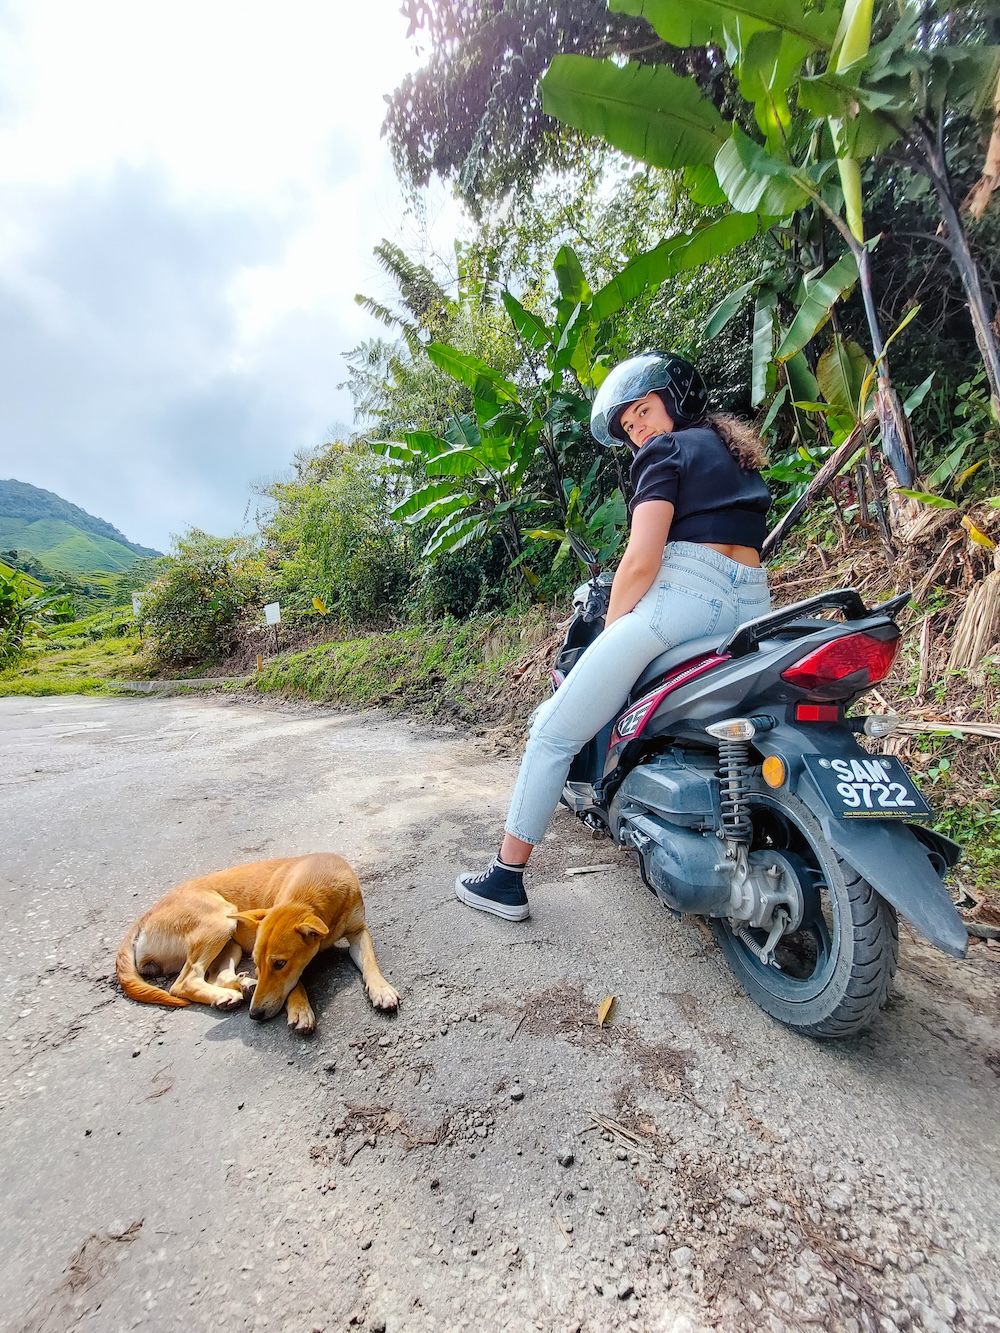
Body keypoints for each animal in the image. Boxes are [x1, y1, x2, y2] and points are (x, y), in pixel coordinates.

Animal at [115, 853, 397, 1029]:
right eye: (258, 964)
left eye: (279, 964)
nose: (254, 1015)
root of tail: (144, 917)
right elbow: (294, 983)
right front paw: (299, 1008)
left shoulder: (359, 932)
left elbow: (370, 962)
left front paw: (381, 989)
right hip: (221, 922)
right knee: (183, 982)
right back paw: (230, 993)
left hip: (230, 943)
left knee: (216, 976)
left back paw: (241, 987)